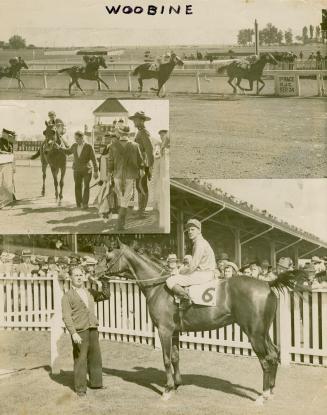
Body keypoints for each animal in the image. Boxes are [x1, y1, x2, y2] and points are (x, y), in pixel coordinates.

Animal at [98, 242, 304, 408]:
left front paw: (167, 390)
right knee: (274, 354)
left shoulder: (164, 331)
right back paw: (271, 392)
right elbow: (175, 358)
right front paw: (177, 385)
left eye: (108, 257)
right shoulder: (174, 332)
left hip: (253, 333)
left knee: (266, 360)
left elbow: (166, 359)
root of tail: (267, 284)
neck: (158, 287)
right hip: (263, 331)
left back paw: (262, 396)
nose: (95, 273)